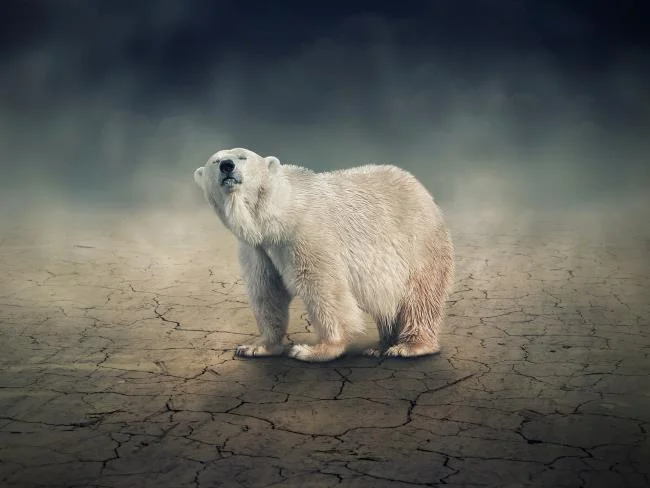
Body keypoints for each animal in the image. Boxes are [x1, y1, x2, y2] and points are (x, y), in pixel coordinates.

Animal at [193, 147, 454, 362]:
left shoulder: (307, 233)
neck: (278, 215)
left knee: (419, 297)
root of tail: (422, 191)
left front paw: (314, 350)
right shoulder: (257, 248)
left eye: (242, 157)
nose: (227, 165)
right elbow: (267, 291)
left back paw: (409, 346)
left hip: (418, 244)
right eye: (215, 160)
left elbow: (322, 287)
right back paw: (379, 346)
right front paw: (257, 347)